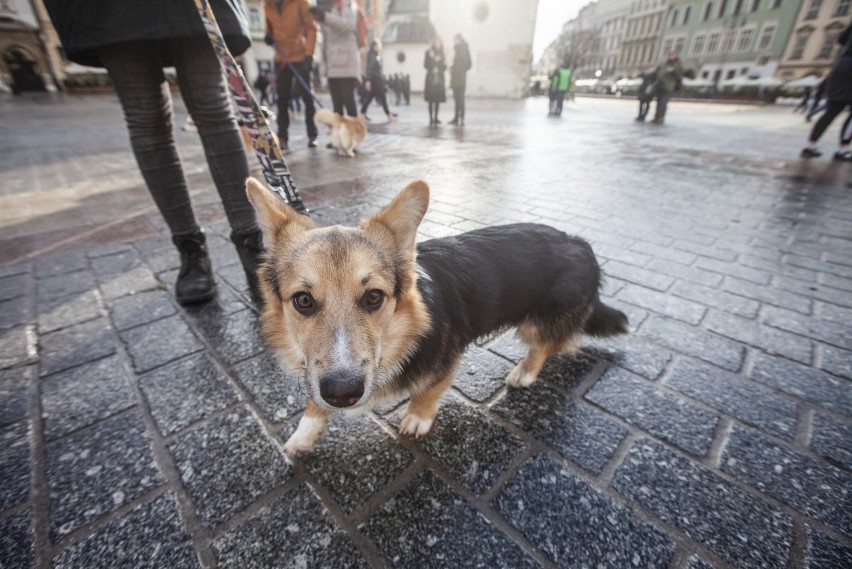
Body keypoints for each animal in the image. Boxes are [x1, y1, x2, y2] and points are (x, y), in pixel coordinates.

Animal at [243, 178, 628, 452]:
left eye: (374, 297)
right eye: (303, 301)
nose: (343, 394)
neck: (399, 337)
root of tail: (581, 244)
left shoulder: (445, 361)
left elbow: (427, 393)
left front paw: (417, 419)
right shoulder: (317, 369)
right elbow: (313, 397)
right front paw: (303, 435)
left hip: (535, 324)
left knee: (549, 345)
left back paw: (525, 372)